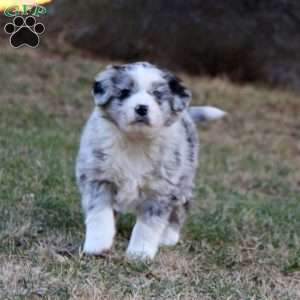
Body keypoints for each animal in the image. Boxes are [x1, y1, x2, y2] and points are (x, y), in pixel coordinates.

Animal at [75, 61, 225, 260]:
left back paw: (168, 237)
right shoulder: (98, 177)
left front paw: (139, 254)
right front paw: (97, 246)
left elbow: (147, 226)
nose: (141, 108)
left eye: (157, 95)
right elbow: (100, 215)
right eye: (124, 92)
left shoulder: (161, 189)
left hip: (183, 181)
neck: (136, 140)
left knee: (181, 208)